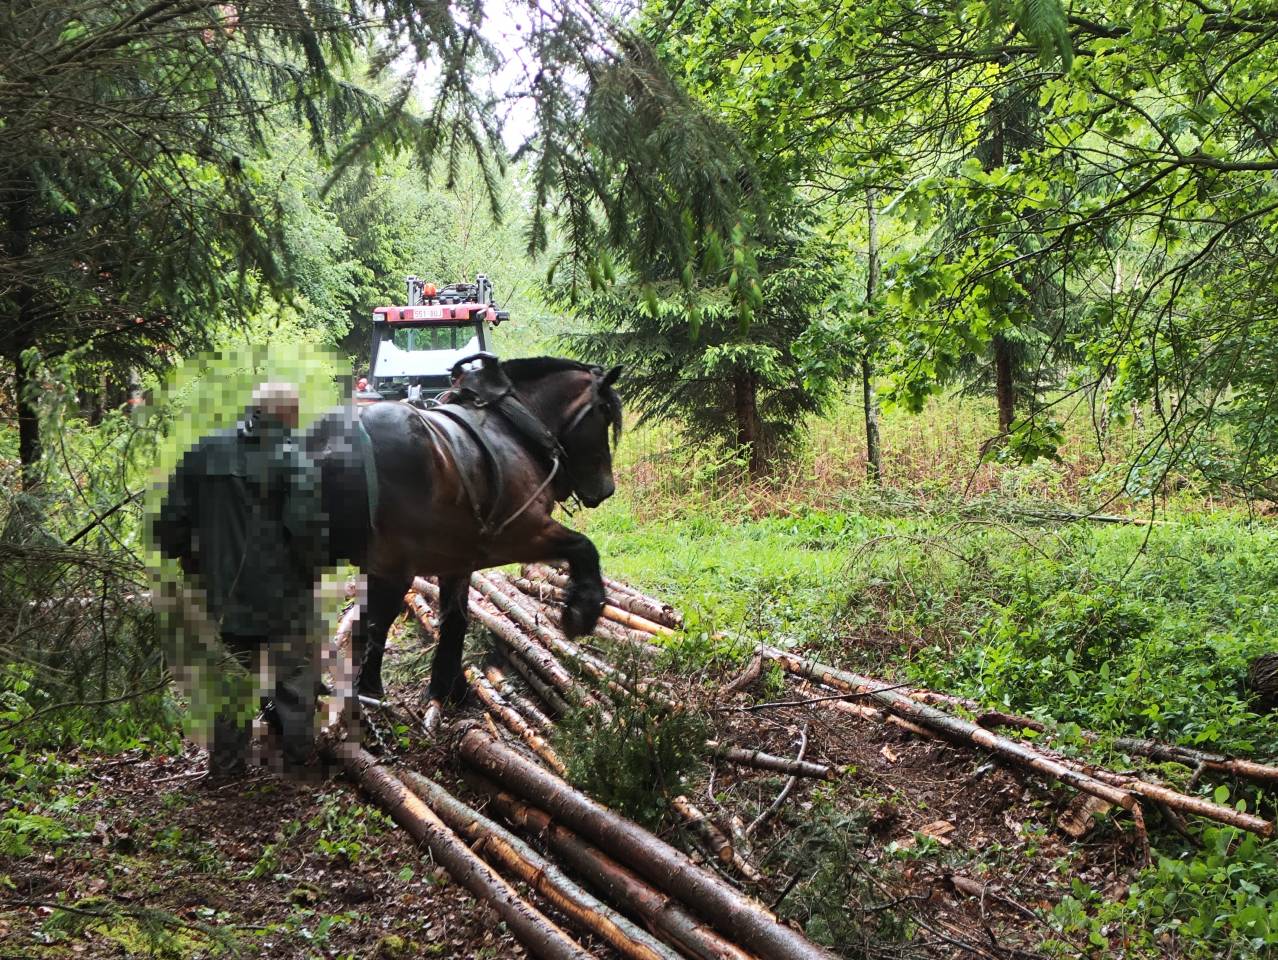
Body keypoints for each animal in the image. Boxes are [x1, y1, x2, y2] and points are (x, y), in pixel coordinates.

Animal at [304, 354, 623, 730]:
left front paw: (451, 689)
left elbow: (454, 620)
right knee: (373, 624)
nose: (606, 489)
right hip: (394, 566)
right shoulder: (520, 533)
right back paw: (367, 695)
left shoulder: (457, 560)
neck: (516, 428)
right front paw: (582, 611)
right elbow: (583, 547)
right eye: (604, 412)